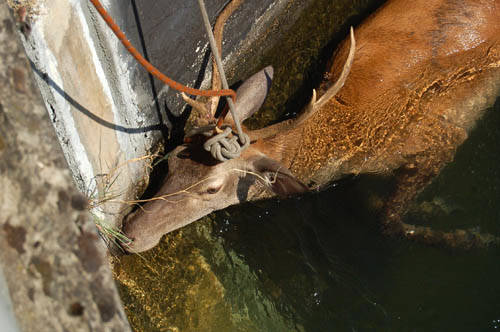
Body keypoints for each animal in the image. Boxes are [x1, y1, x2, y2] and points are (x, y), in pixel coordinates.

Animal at [122, 0, 500, 253]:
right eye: (171, 160)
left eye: (211, 189)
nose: (130, 233)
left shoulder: (442, 137)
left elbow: (388, 221)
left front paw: (470, 238)